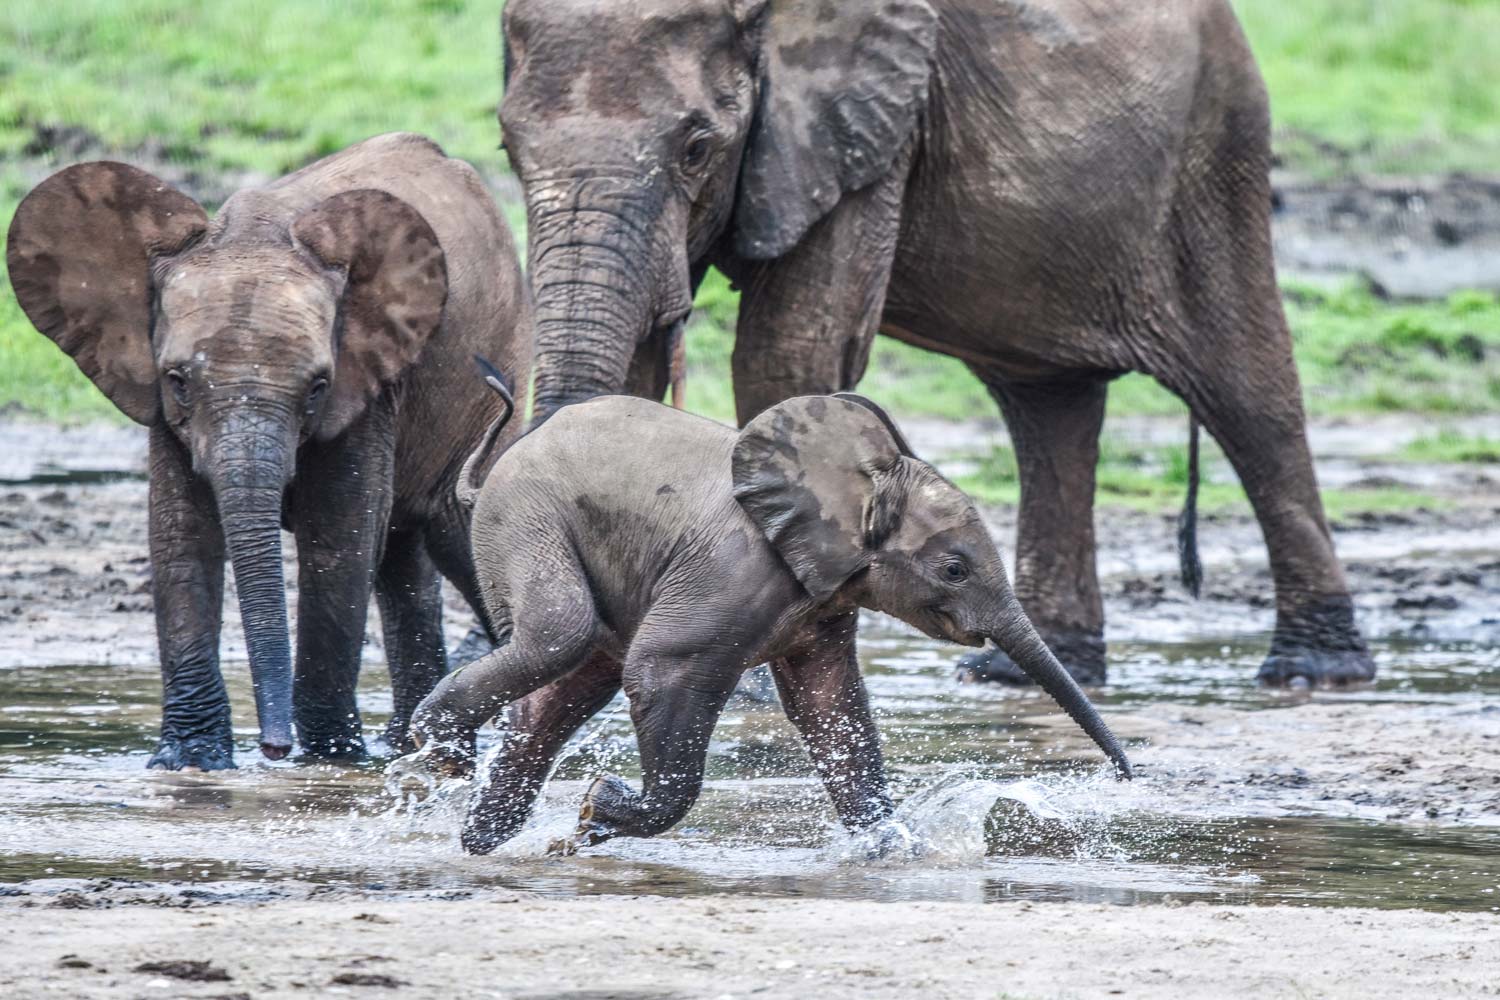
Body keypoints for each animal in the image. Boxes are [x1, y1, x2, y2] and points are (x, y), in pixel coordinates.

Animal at [4, 132, 534, 773]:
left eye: (318, 387)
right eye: (178, 380)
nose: (272, 747)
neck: (252, 235)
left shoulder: (366, 382)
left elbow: (337, 537)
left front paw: (328, 761)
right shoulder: (162, 406)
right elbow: (181, 533)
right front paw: (191, 762)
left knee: (459, 533)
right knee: (404, 560)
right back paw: (411, 746)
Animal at [405, 389, 1128, 851]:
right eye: (954, 569)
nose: (1124, 777)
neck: (863, 482)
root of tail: (499, 464)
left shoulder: (824, 595)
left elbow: (829, 703)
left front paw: (891, 849)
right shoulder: (736, 571)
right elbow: (665, 669)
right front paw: (596, 810)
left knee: (565, 687)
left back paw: (480, 837)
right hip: (524, 516)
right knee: (563, 635)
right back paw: (441, 753)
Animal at [492, 0, 1374, 689]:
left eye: (697, 147)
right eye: (506, 149)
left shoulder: (860, 126)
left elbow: (787, 347)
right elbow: (642, 356)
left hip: (1214, 142)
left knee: (1246, 390)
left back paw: (1312, 668)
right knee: (1047, 410)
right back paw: (1023, 672)